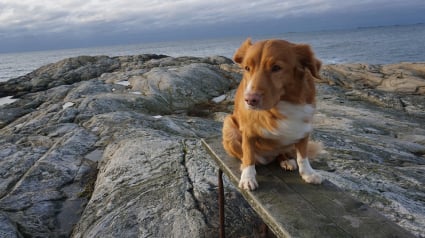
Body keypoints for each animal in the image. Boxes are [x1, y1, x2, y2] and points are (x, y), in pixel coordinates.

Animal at [222, 38, 322, 191]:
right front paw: (248, 178)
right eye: (247, 68)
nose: (250, 100)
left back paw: (286, 160)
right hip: (229, 126)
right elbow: (249, 155)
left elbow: (302, 155)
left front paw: (308, 173)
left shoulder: (304, 127)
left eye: (276, 68)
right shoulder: (248, 132)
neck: (284, 102)